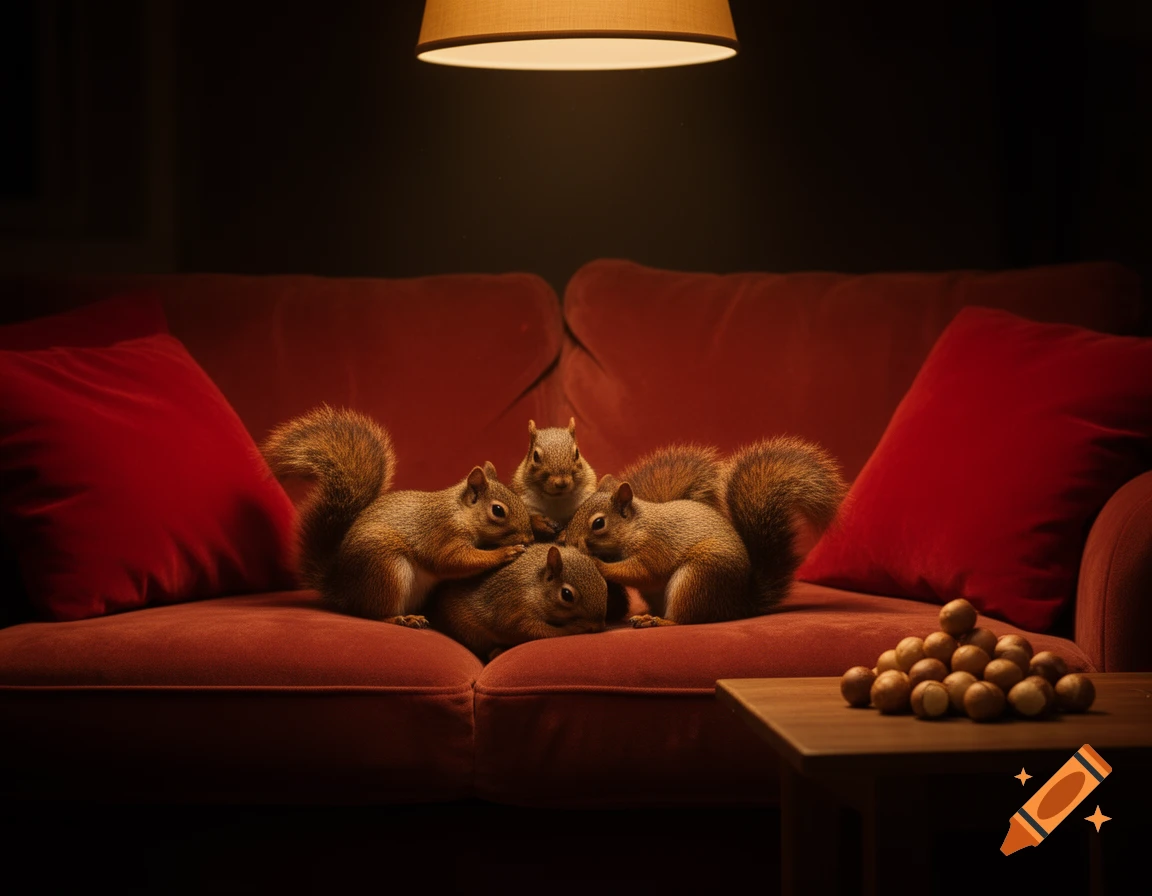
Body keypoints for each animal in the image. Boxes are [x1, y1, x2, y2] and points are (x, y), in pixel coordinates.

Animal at [261, 404, 534, 627]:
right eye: (498, 510)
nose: (530, 539)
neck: (460, 512)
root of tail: (342, 588)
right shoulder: (442, 533)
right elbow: (453, 560)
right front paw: (505, 552)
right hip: (386, 569)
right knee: (372, 613)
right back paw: (401, 618)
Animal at [426, 543, 608, 662]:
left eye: (605, 584)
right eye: (566, 595)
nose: (599, 626)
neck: (534, 584)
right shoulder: (515, 611)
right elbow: (541, 631)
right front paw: (575, 628)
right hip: (468, 632)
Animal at [564, 437, 847, 627]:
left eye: (598, 524)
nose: (569, 541)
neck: (636, 527)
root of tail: (736, 605)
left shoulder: (655, 546)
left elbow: (642, 571)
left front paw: (597, 563)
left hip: (697, 577)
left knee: (684, 619)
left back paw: (657, 621)